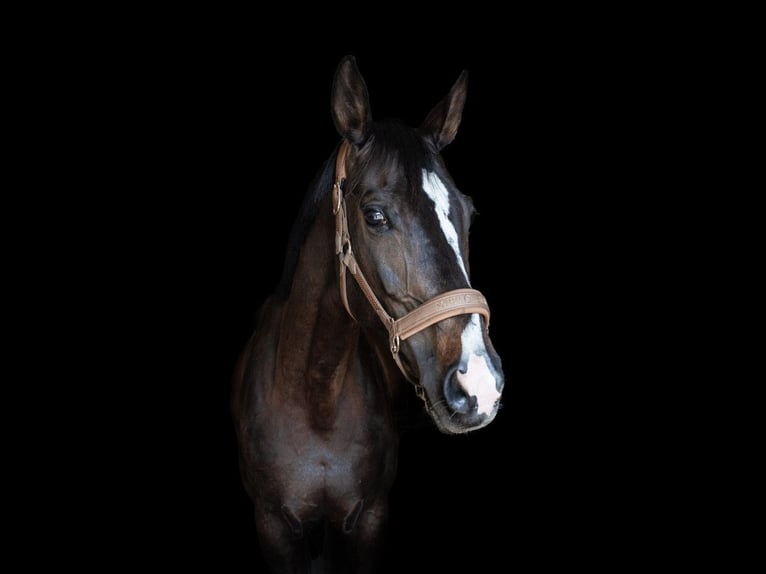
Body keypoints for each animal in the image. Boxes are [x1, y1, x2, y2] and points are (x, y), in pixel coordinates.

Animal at [231, 54, 505, 573]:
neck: (314, 398)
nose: (477, 383)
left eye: (469, 212)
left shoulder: (369, 520)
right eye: (375, 216)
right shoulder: (273, 526)